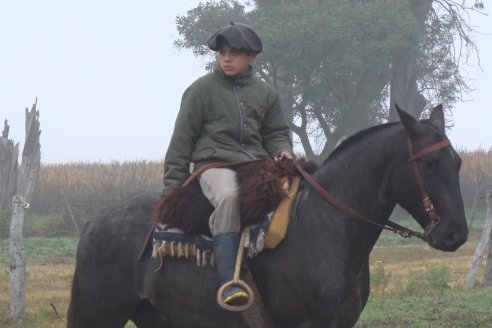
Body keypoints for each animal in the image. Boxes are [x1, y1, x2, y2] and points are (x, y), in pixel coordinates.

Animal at [66, 105, 468, 328]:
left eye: (458, 161)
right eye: (429, 163)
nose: (456, 234)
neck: (327, 226)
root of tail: (94, 225)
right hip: (102, 315)